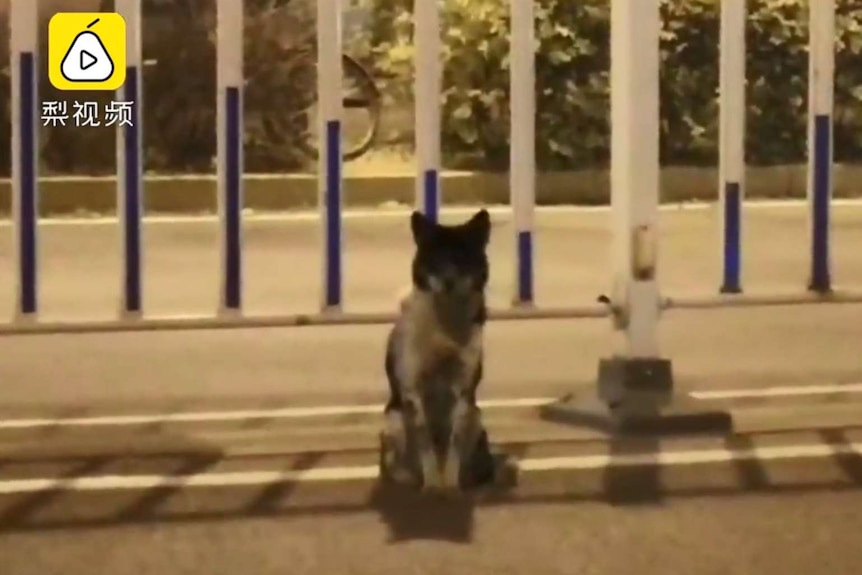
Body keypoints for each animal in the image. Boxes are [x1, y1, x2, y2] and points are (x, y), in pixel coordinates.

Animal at [380, 209, 506, 492]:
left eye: (462, 258)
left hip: (476, 416)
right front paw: (433, 486)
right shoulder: (412, 389)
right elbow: (424, 440)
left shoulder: (463, 389)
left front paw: (449, 484)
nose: (449, 280)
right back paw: (409, 479)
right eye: (435, 259)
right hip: (393, 420)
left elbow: (455, 442)